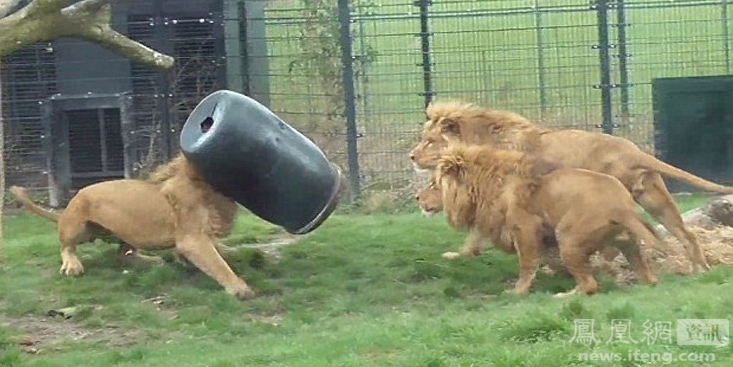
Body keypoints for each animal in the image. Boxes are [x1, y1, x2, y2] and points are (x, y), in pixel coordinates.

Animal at [10, 154, 256, 300]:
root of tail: (65, 210)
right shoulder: (192, 239)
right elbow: (218, 264)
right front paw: (240, 288)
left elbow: (224, 252)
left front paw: (245, 255)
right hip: (81, 227)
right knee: (66, 247)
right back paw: (72, 266)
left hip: (127, 232)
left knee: (122, 254)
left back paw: (151, 261)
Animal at [408, 100, 728, 274]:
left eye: (430, 142)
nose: (411, 156)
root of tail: (631, 151)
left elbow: (477, 234)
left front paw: (458, 255)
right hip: (655, 198)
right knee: (686, 234)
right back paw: (699, 269)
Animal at [432, 144, 660, 296]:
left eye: (433, 185)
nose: (422, 200)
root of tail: (623, 207)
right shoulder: (544, 235)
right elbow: (551, 260)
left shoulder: (526, 228)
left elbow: (527, 264)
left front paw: (518, 291)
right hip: (627, 243)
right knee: (650, 279)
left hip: (568, 238)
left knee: (590, 286)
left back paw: (565, 295)